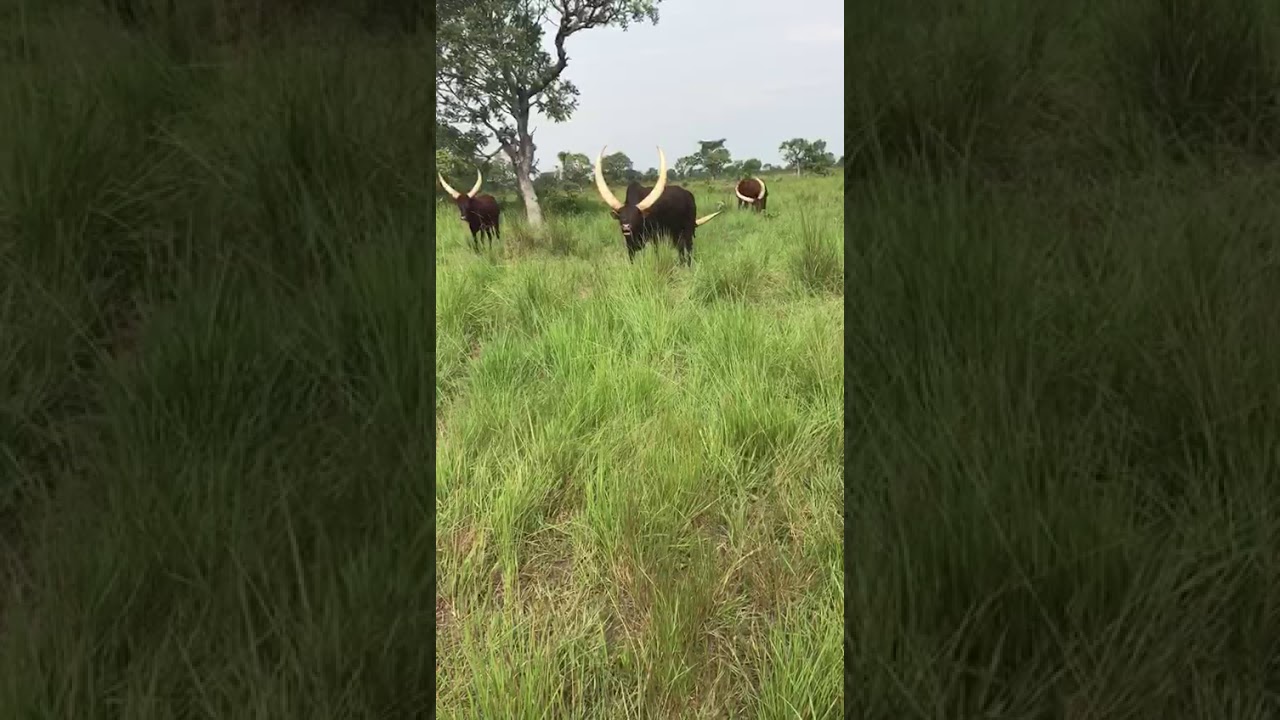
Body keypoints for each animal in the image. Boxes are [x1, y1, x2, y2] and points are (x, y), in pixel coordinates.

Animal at [592, 146, 723, 265]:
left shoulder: (655, 237)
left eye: (636, 216)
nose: (626, 227)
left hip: (687, 229)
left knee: (688, 248)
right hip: (675, 232)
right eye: (621, 217)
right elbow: (632, 258)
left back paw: (688, 266)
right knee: (680, 248)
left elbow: (656, 253)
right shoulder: (630, 244)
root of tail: (687, 194)